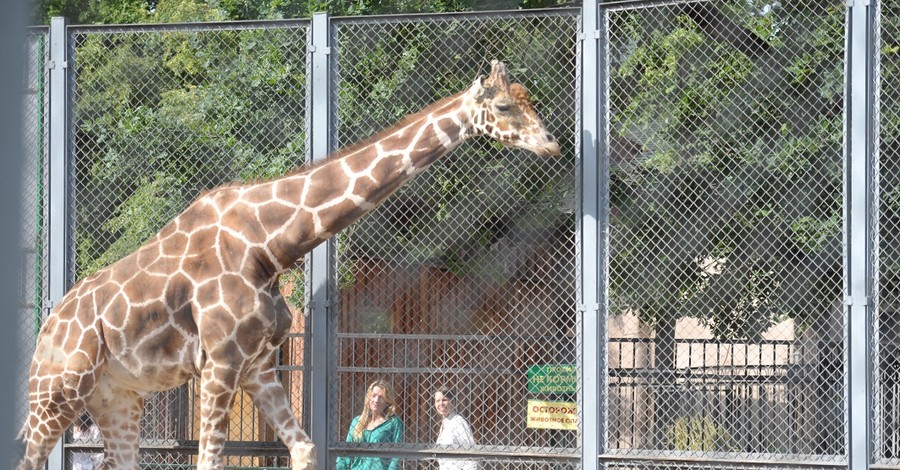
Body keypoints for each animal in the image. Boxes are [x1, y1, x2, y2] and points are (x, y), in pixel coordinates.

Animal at [15, 59, 556, 470]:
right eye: (504, 106)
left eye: (530, 99)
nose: (550, 143)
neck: (268, 246)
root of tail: (47, 327)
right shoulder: (220, 362)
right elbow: (209, 459)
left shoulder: (258, 365)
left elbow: (306, 446)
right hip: (57, 391)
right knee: (32, 457)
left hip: (116, 397)